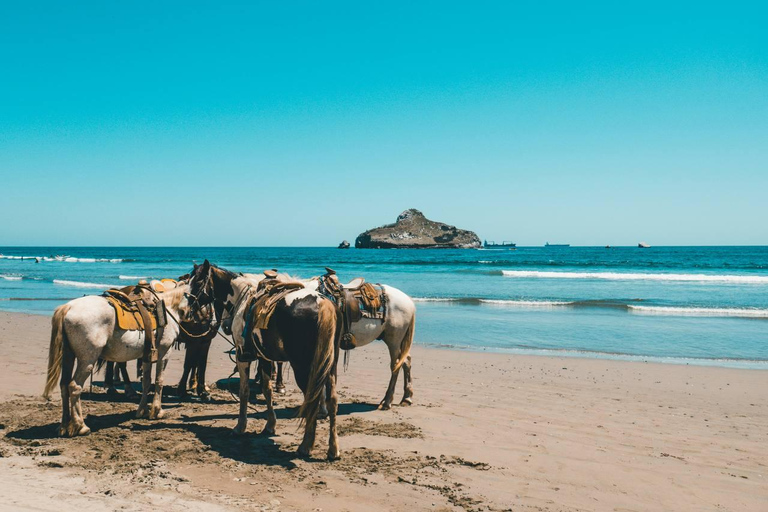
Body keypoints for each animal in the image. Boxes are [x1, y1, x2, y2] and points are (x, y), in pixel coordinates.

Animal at [43, 282, 196, 434]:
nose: (194, 319)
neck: (167, 309)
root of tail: (68, 307)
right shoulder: (164, 352)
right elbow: (159, 381)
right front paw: (157, 411)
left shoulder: (147, 355)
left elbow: (146, 382)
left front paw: (143, 411)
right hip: (87, 360)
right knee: (74, 387)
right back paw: (80, 426)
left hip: (68, 356)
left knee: (64, 385)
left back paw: (64, 426)